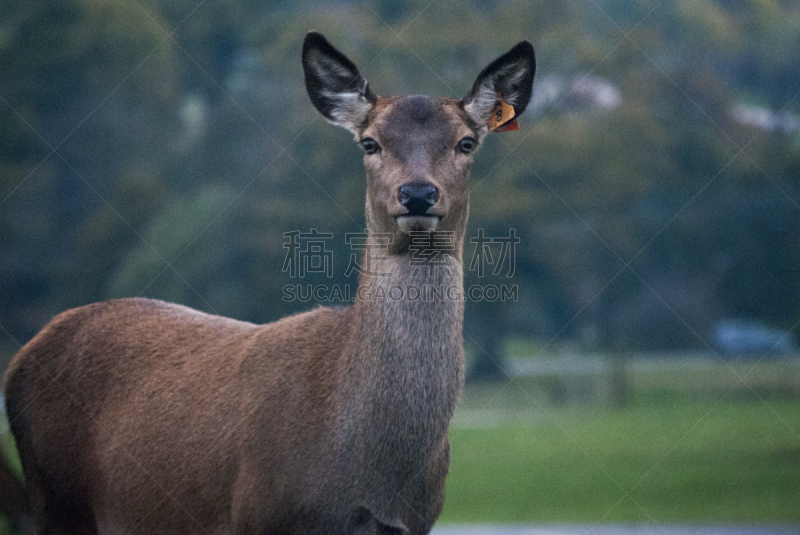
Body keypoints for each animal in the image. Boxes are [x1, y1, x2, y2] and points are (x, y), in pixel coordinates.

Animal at [6, 31, 536, 532]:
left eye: (466, 142)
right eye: (370, 142)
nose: (419, 193)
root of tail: (22, 357)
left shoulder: (419, 522)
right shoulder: (258, 512)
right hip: (54, 499)